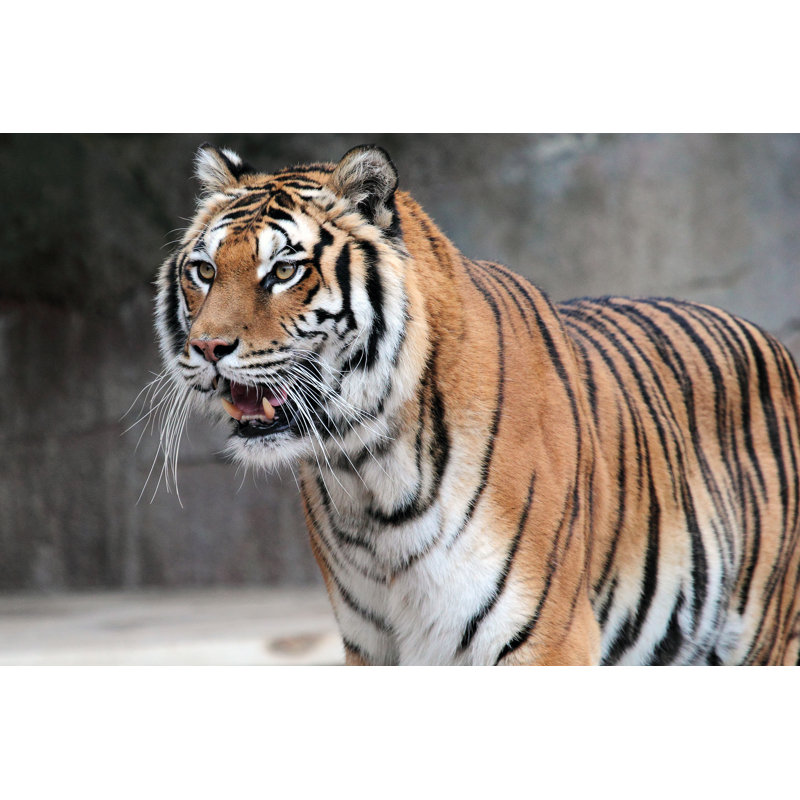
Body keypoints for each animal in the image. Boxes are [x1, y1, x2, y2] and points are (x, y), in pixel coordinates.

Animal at [153, 142, 800, 665]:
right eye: (204, 271)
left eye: (285, 270)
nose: (207, 347)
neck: (368, 475)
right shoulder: (372, 645)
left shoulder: (545, 637)